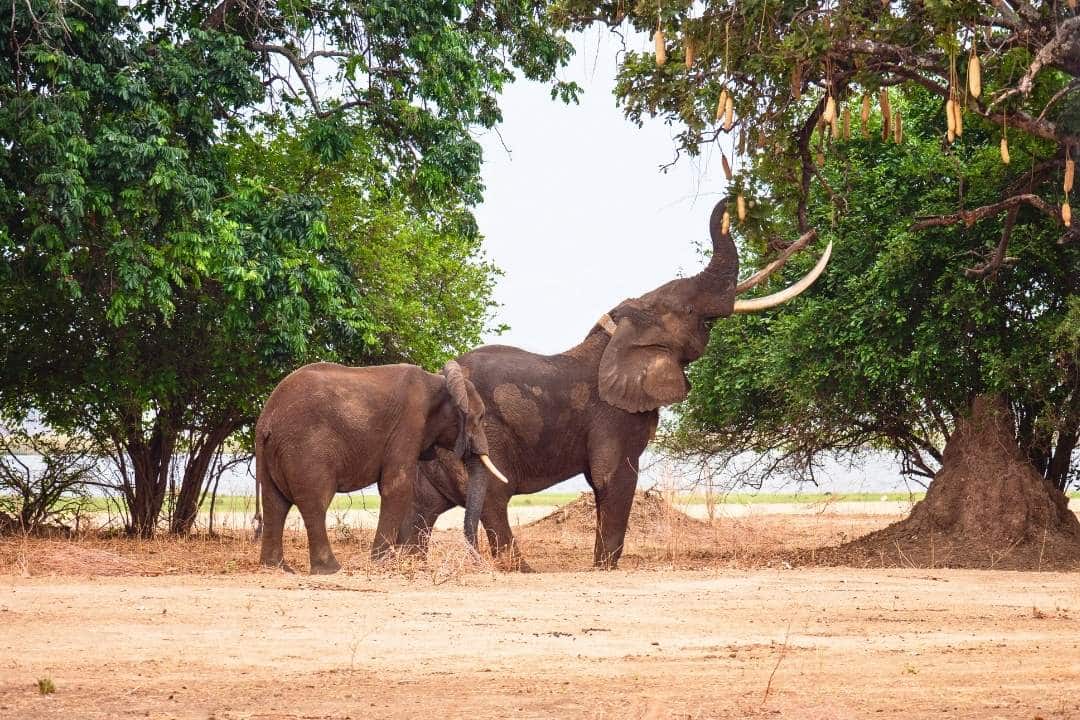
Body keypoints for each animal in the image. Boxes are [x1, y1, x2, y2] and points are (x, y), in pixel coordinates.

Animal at [254, 360, 509, 574]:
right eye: (480, 417)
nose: (480, 561)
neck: (438, 381)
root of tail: (265, 420)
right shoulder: (409, 423)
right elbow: (397, 486)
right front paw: (383, 563)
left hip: (276, 451)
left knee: (275, 503)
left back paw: (277, 568)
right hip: (306, 449)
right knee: (315, 502)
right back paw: (331, 570)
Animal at [406, 199, 831, 570]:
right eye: (690, 310)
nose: (731, 202)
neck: (618, 333)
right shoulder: (614, 415)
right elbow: (614, 478)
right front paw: (604, 568)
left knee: (424, 505)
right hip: (481, 435)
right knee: (493, 499)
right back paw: (521, 571)